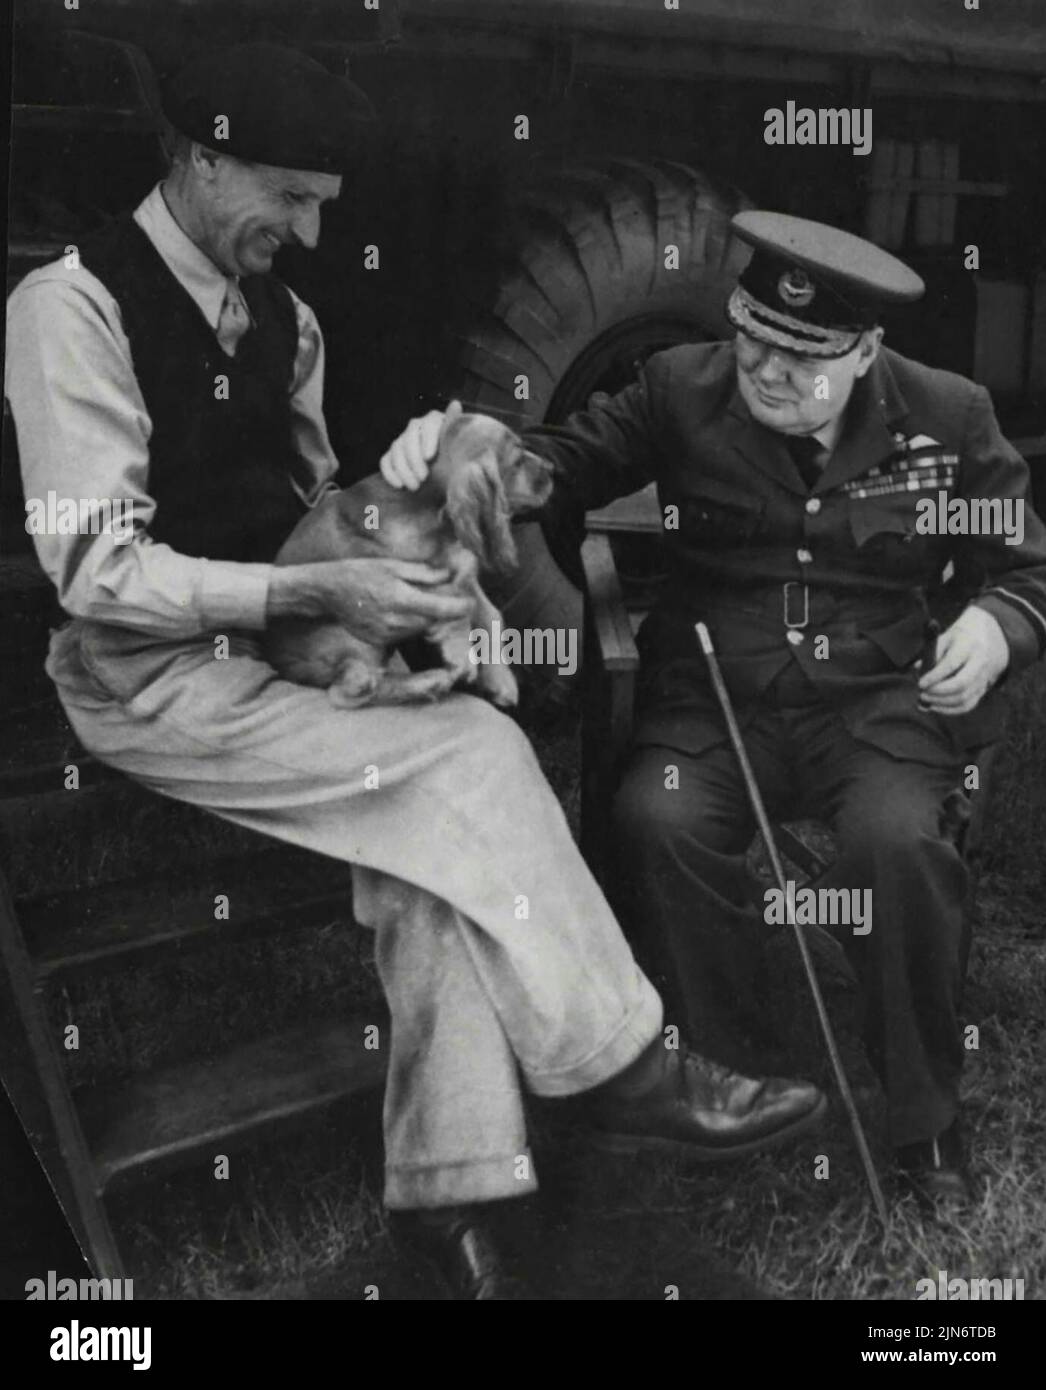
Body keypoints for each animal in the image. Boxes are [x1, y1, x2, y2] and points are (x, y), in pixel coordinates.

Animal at [265, 400, 550, 706]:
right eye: (517, 461)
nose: (552, 469)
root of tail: (282, 667)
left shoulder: (463, 572)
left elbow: (490, 614)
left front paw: (501, 679)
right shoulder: (418, 578)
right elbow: (457, 609)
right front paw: (462, 653)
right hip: (351, 639)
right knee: (352, 688)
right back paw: (429, 681)